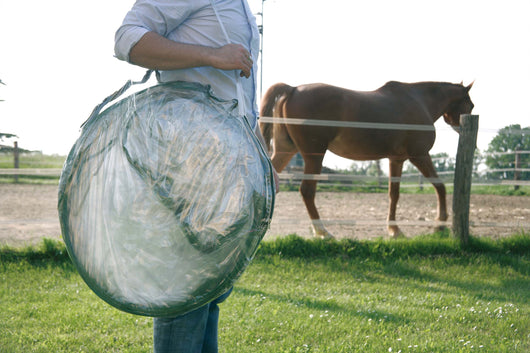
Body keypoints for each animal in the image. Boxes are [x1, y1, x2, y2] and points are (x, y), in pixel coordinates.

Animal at [258, 81, 472, 238]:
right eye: (470, 104)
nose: (462, 127)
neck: (420, 100)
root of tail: (293, 89)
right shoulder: (419, 155)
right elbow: (440, 186)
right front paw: (440, 224)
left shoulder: (396, 160)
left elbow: (394, 194)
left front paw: (394, 230)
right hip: (314, 156)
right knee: (307, 191)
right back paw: (322, 232)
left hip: (286, 150)